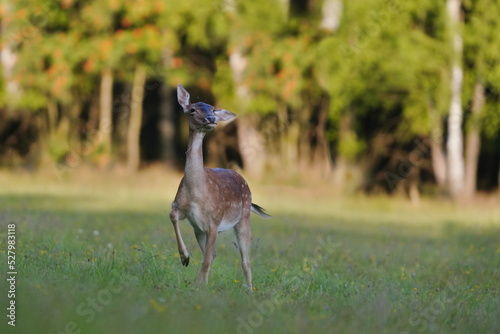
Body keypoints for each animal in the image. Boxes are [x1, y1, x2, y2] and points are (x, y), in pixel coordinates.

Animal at [169, 83, 270, 290]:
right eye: (192, 109)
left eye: (213, 109)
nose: (211, 118)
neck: (197, 193)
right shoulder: (185, 211)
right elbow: (173, 216)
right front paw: (185, 258)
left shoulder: (214, 221)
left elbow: (208, 258)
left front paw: (198, 285)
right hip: (199, 230)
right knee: (213, 254)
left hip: (243, 216)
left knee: (245, 259)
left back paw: (249, 289)